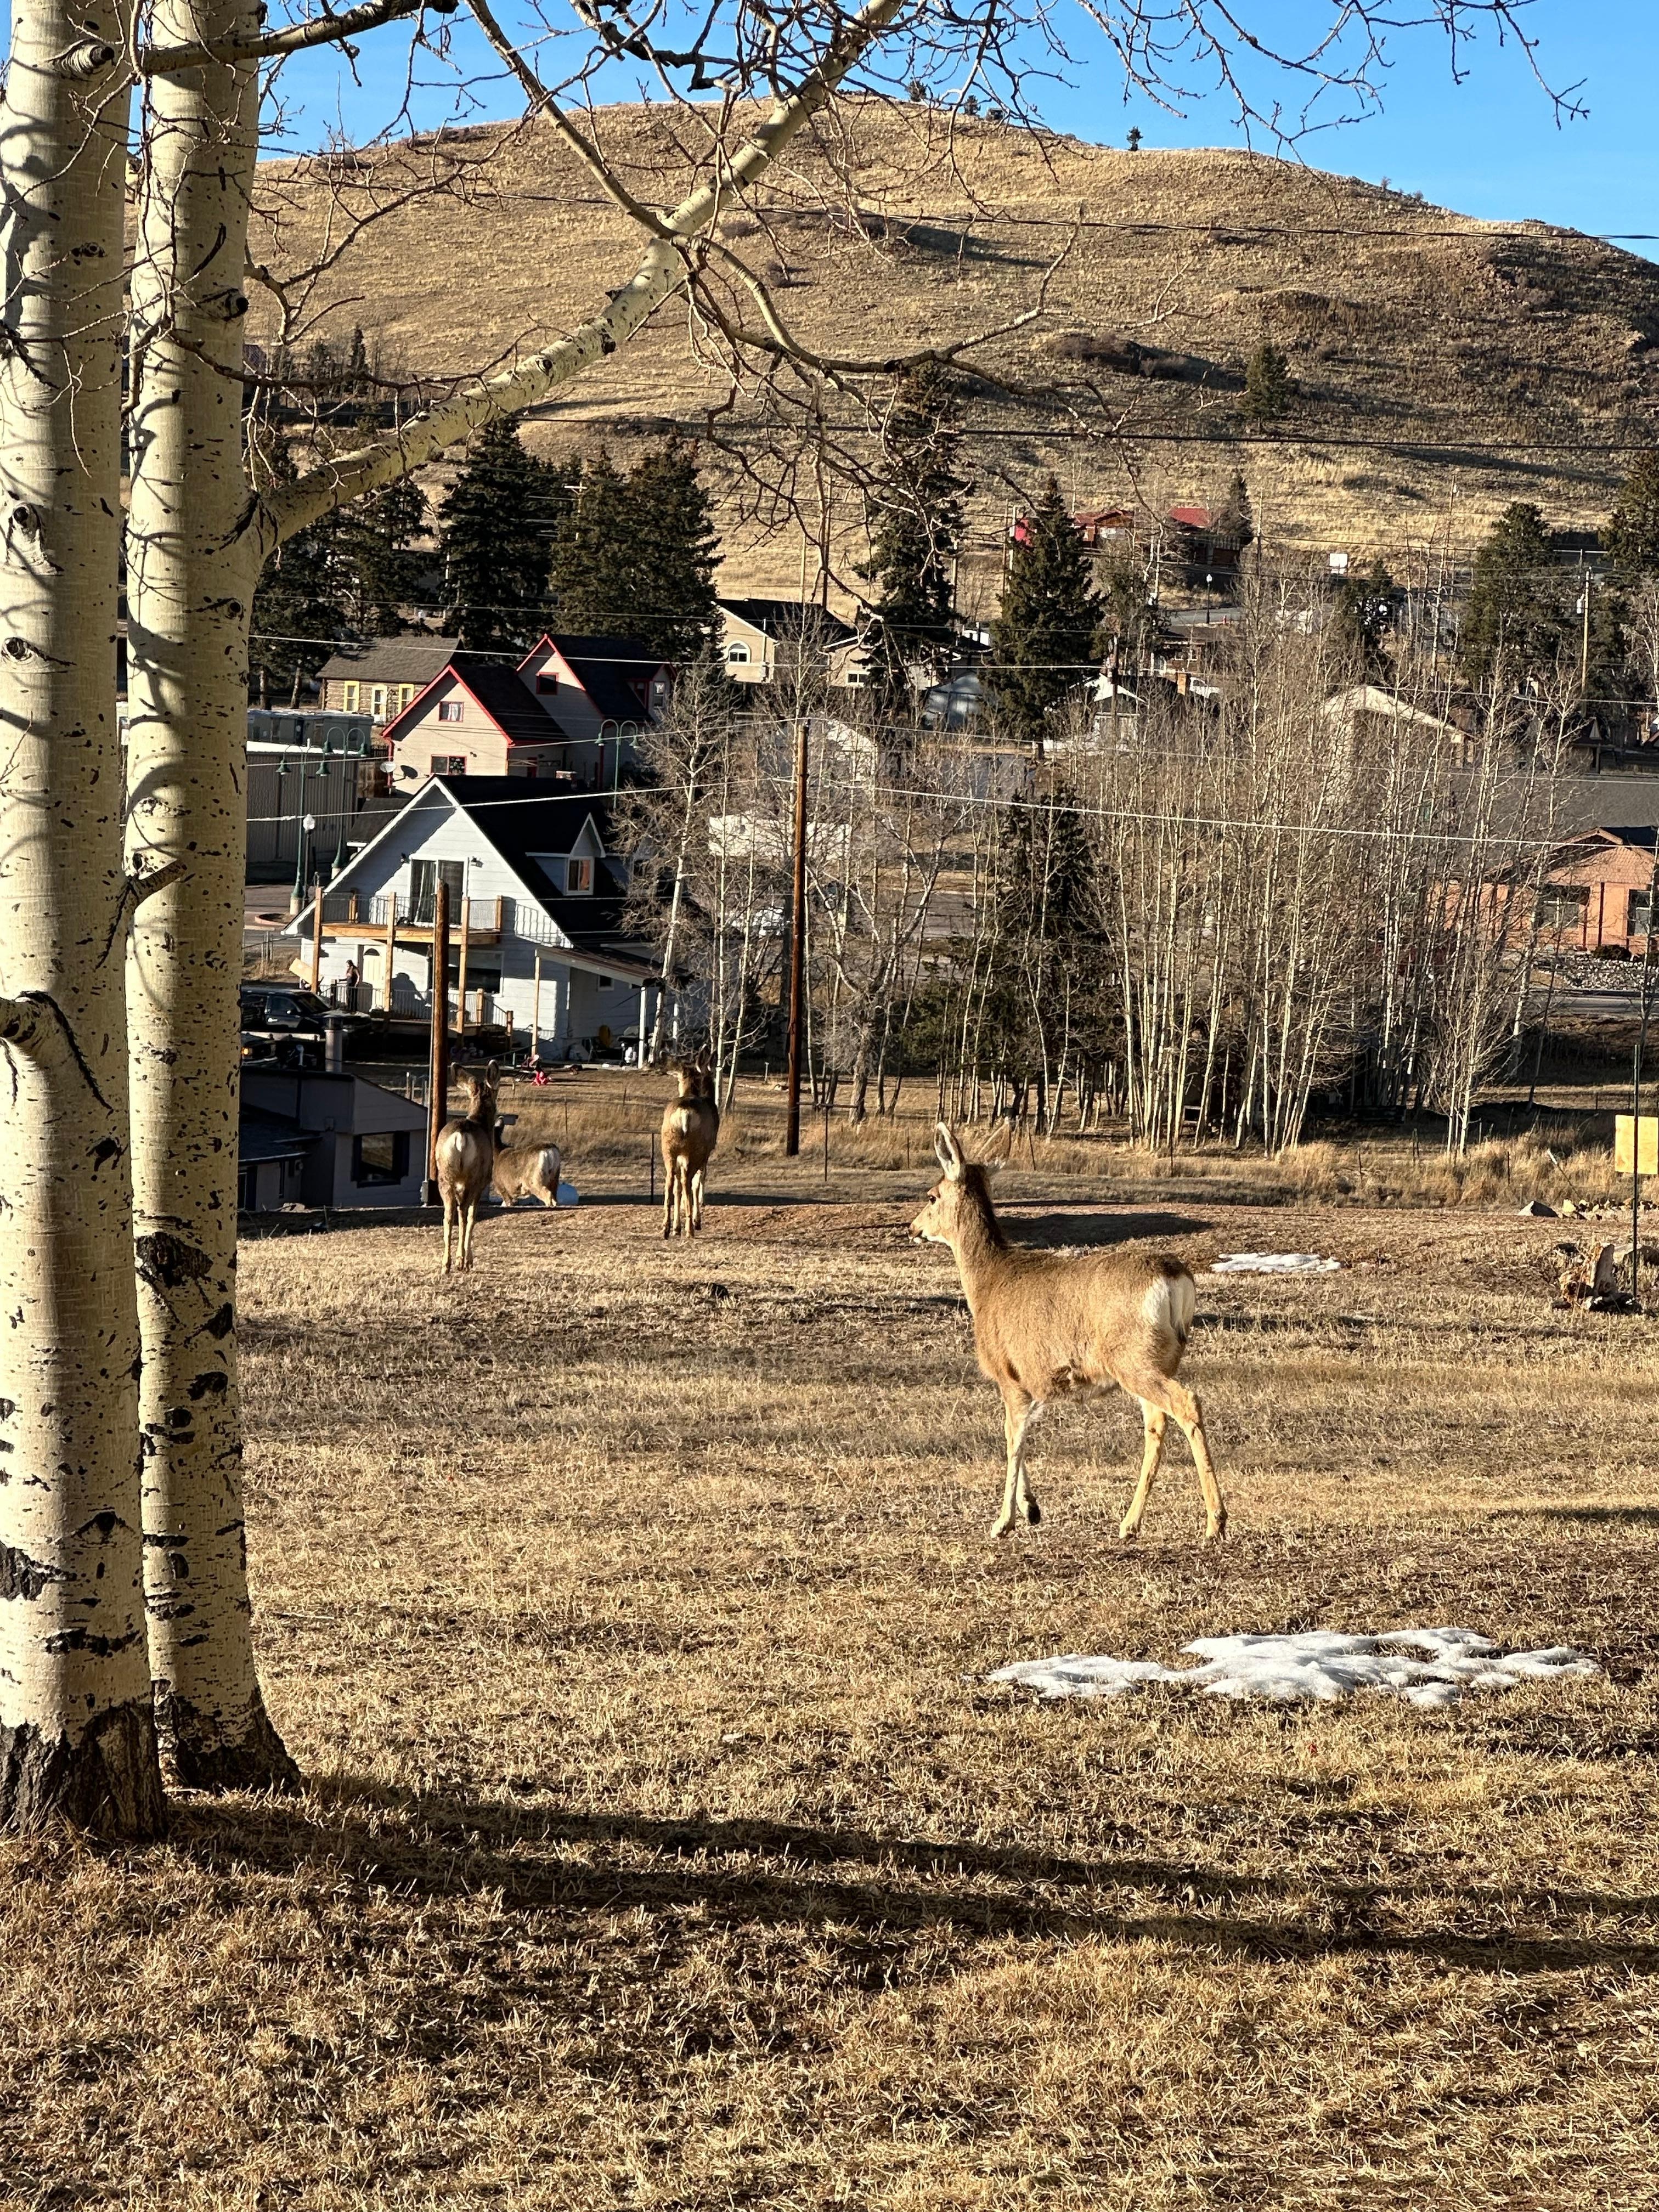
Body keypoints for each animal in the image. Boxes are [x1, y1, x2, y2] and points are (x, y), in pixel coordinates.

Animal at [436, 1061, 498, 1273]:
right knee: (464, 1214)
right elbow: (472, 1217)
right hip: (473, 1177)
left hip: (445, 1176)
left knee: (448, 1214)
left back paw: (446, 1264)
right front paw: (469, 1259)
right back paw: (461, 1261)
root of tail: (461, 1136)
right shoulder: (482, 1183)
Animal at [661, 1056, 719, 1239]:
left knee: (670, 1181)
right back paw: (690, 1229)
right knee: (689, 1182)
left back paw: (666, 1228)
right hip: (696, 1150)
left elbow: (677, 1189)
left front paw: (676, 1227)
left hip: (668, 1149)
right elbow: (699, 1182)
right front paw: (695, 1221)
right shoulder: (706, 1154)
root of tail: (685, 1113)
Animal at [909, 1123, 1226, 1543]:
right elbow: (1019, 1433)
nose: (912, 1228)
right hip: (1159, 1359)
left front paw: (1003, 1521)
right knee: (1157, 1422)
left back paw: (1215, 1522)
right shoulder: (1029, 1380)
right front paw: (1031, 1508)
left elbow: (1012, 1438)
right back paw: (1130, 1523)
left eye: (932, 1195)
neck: (987, 1284)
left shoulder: (1009, 1371)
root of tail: (1176, 1279)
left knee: (1186, 1403)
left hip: (1133, 1357)